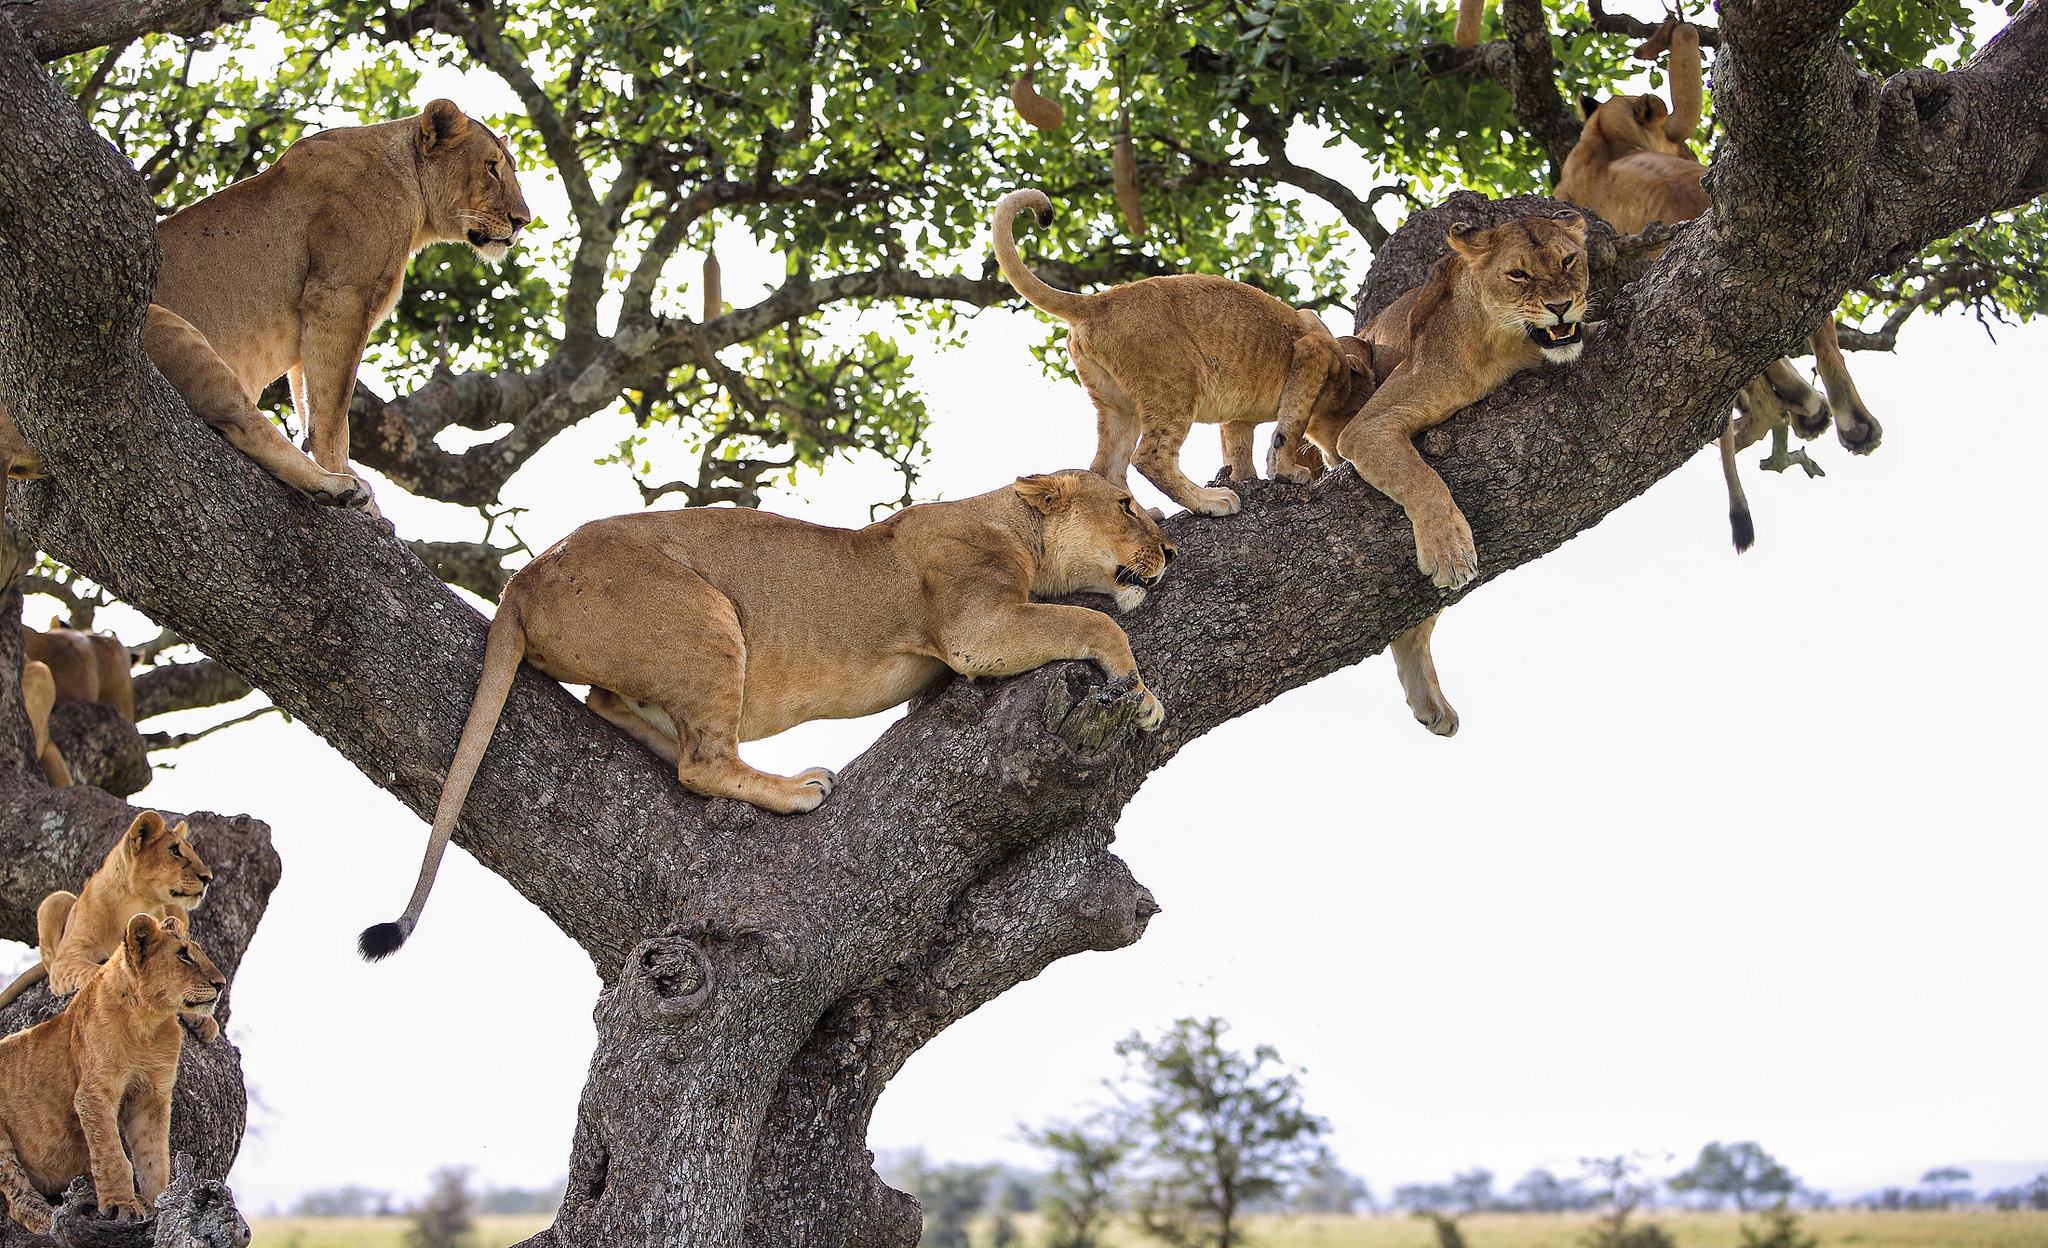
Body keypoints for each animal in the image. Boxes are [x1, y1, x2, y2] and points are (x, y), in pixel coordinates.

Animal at [0, 807, 211, 1020]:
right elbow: (93, 971)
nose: (208, 878)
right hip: (55, 901)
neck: (136, 902)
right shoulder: (66, 959)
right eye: (175, 850)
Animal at [0, 905, 224, 1229]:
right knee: (18, 1199)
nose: (221, 984)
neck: (149, 1025)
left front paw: (158, 1204)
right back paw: (53, 1218)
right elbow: (112, 1154)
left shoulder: (152, 1097)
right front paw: (121, 1205)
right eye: (183, 954)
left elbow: (155, 1157)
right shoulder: (94, 1093)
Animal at [360, 467, 1179, 954]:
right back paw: (795, 789)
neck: (1013, 524)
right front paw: (1141, 695)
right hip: (706, 615)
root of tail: (522, 578)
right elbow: (1095, 621)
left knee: (618, 706)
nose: (1170, 551)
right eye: (1127, 505)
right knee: (701, 763)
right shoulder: (977, 626)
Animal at [991, 186, 1376, 516]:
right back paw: (1209, 501)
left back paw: (1144, 518)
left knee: (1106, 466)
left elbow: (1239, 449)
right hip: (1177, 380)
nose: (1342, 458)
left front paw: (1248, 476)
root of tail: (1097, 301)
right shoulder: (1312, 352)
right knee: (1150, 457)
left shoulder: (1238, 416)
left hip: (1118, 405)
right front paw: (1287, 471)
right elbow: (1290, 426)